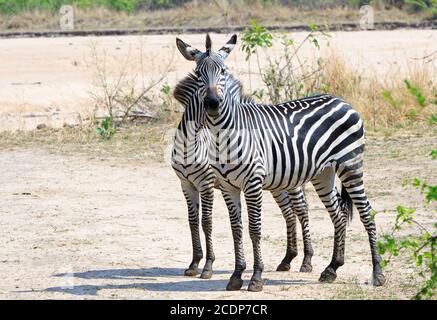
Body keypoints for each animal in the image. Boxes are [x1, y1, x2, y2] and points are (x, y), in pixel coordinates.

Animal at [170, 65, 314, 280]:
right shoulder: (186, 184)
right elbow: (193, 222)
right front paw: (194, 263)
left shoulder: (206, 183)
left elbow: (206, 222)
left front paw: (208, 266)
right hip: (278, 184)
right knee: (288, 213)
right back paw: (287, 259)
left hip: (292, 182)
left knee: (302, 210)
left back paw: (306, 260)